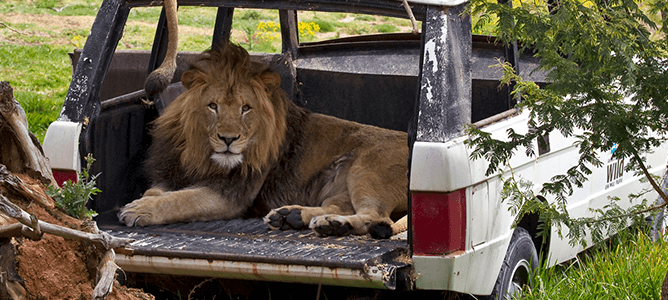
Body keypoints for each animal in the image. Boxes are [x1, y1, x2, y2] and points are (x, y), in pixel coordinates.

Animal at [120, 41, 410, 237]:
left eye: (246, 108)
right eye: (213, 106)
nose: (228, 139)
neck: (199, 150)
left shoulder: (232, 195)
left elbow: (181, 200)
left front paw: (138, 210)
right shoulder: (172, 174)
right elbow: (158, 191)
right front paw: (144, 200)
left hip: (367, 170)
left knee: (376, 217)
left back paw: (335, 225)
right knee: (343, 207)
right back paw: (293, 217)